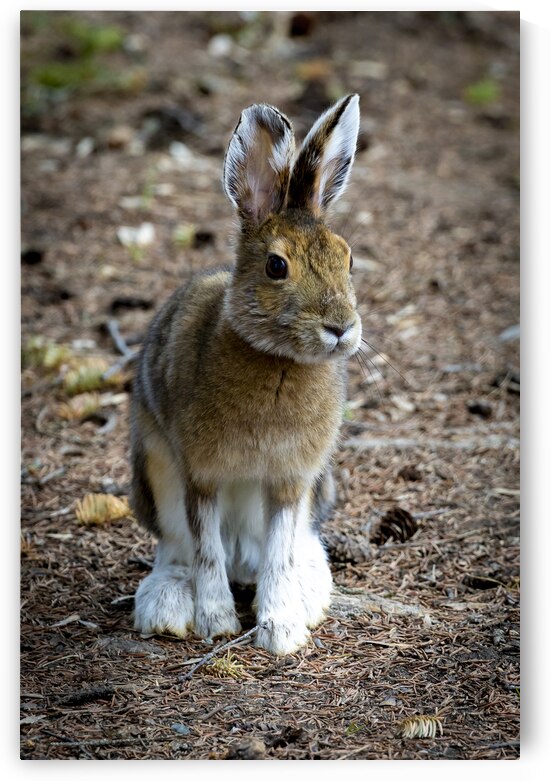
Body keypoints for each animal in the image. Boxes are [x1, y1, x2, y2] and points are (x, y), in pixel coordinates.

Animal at [130, 93, 362, 655]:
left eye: (348, 260)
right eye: (277, 267)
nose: (340, 328)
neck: (278, 361)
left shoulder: (290, 481)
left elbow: (279, 552)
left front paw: (281, 631)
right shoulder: (200, 474)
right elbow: (207, 550)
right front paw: (216, 621)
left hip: (317, 490)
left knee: (294, 546)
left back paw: (308, 593)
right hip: (155, 474)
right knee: (179, 548)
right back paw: (168, 605)